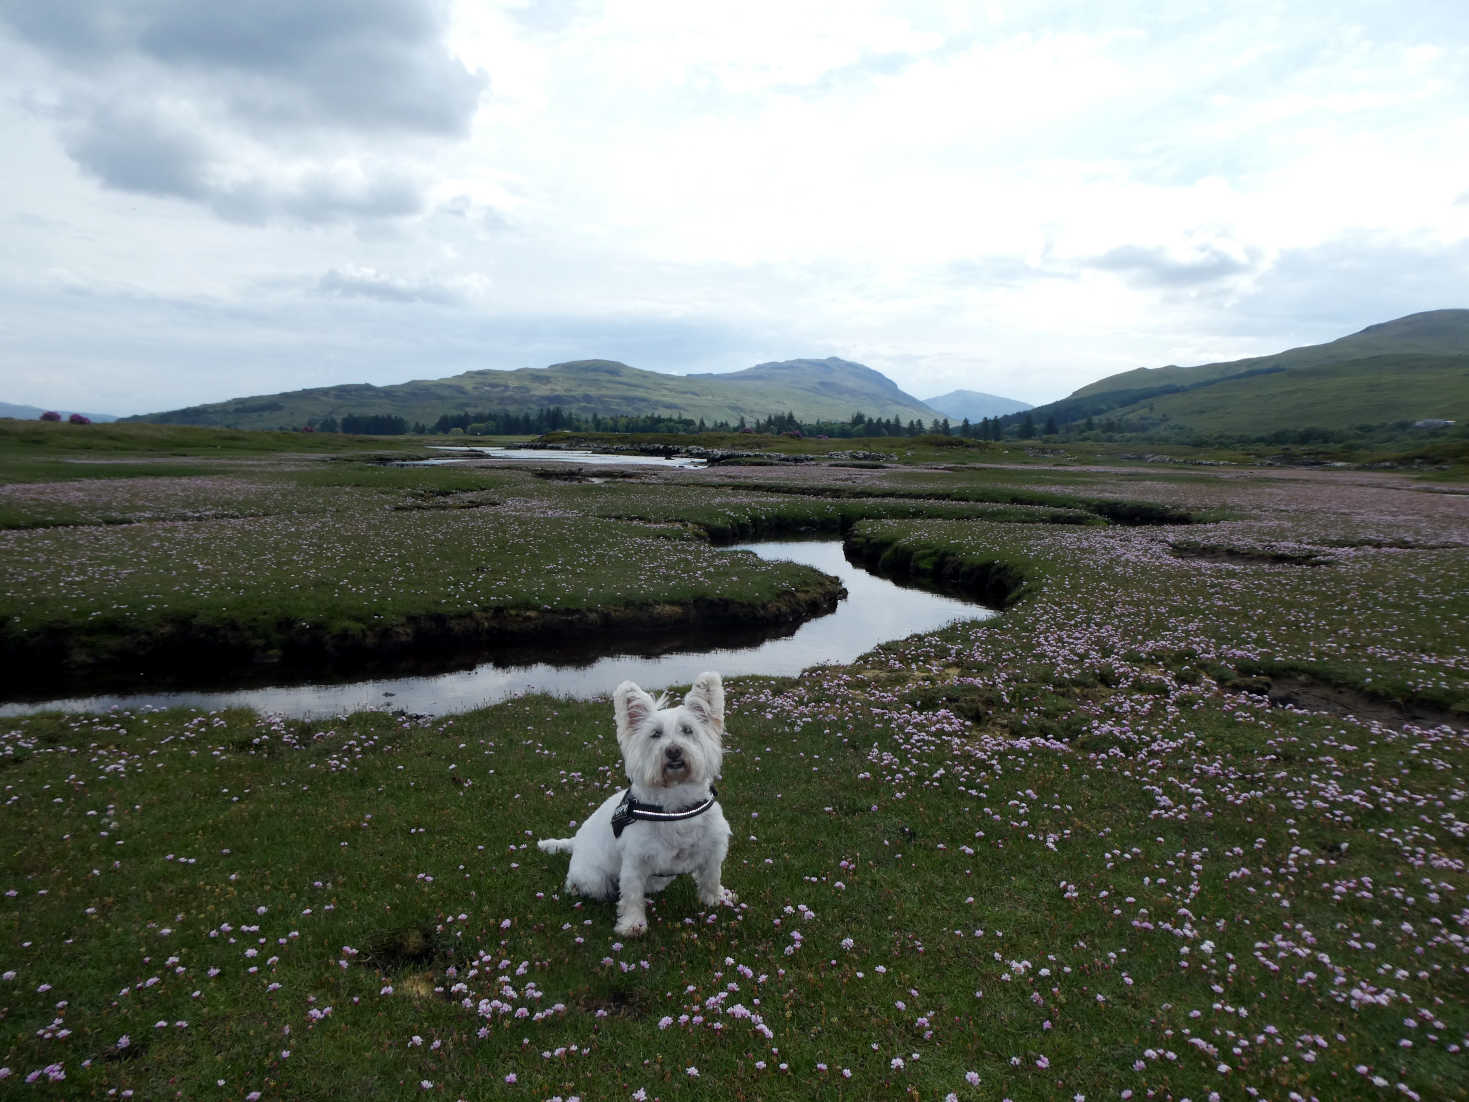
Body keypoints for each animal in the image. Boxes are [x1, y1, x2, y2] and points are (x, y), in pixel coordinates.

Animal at [537, 670, 734, 934]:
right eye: (655, 734)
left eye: (688, 730)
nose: (673, 751)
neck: (675, 805)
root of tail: (576, 840)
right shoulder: (634, 860)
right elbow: (631, 894)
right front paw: (632, 924)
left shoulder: (713, 849)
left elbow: (712, 877)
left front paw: (716, 899)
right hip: (593, 877)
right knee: (582, 884)